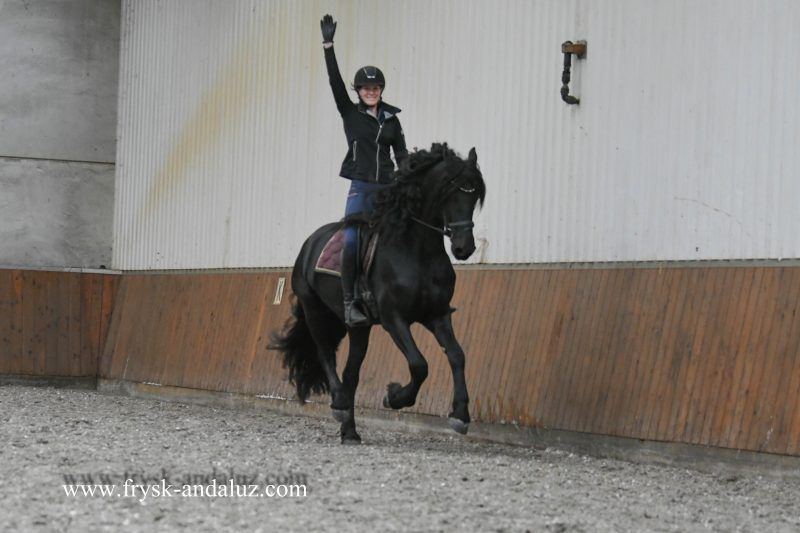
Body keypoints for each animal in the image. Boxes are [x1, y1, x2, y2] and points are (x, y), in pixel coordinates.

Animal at [270, 143, 486, 444]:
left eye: (475, 194)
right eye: (450, 192)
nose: (464, 248)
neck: (417, 249)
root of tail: (310, 243)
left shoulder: (437, 315)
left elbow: (457, 355)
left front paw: (460, 416)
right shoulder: (394, 318)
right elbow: (419, 364)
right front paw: (394, 397)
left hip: (358, 327)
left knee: (351, 372)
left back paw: (349, 431)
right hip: (314, 311)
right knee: (326, 354)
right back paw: (339, 405)